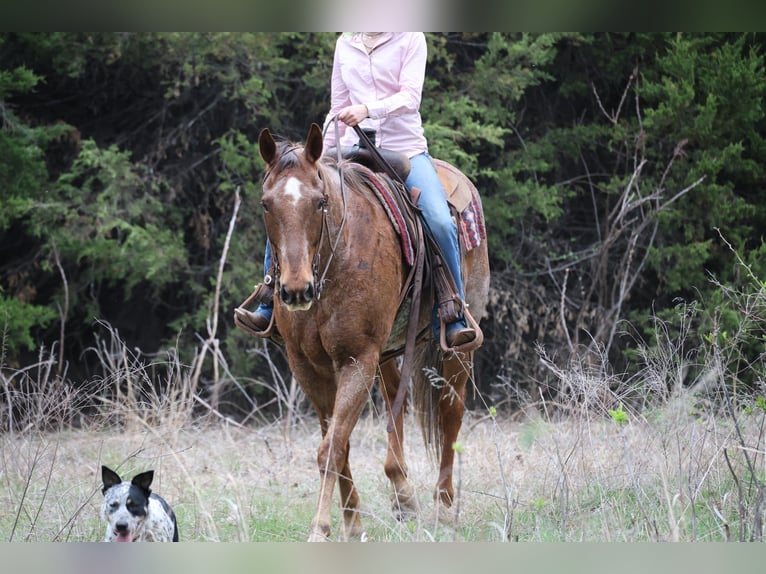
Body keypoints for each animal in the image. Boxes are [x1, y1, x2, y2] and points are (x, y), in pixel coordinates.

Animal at [251, 123, 489, 541]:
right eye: (267, 204)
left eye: (320, 202)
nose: (296, 290)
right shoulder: (308, 366)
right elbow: (337, 442)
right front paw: (352, 522)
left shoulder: (356, 358)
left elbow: (331, 447)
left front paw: (321, 528)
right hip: (391, 349)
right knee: (397, 400)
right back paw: (403, 495)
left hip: (459, 346)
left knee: (451, 409)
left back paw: (443, 506)